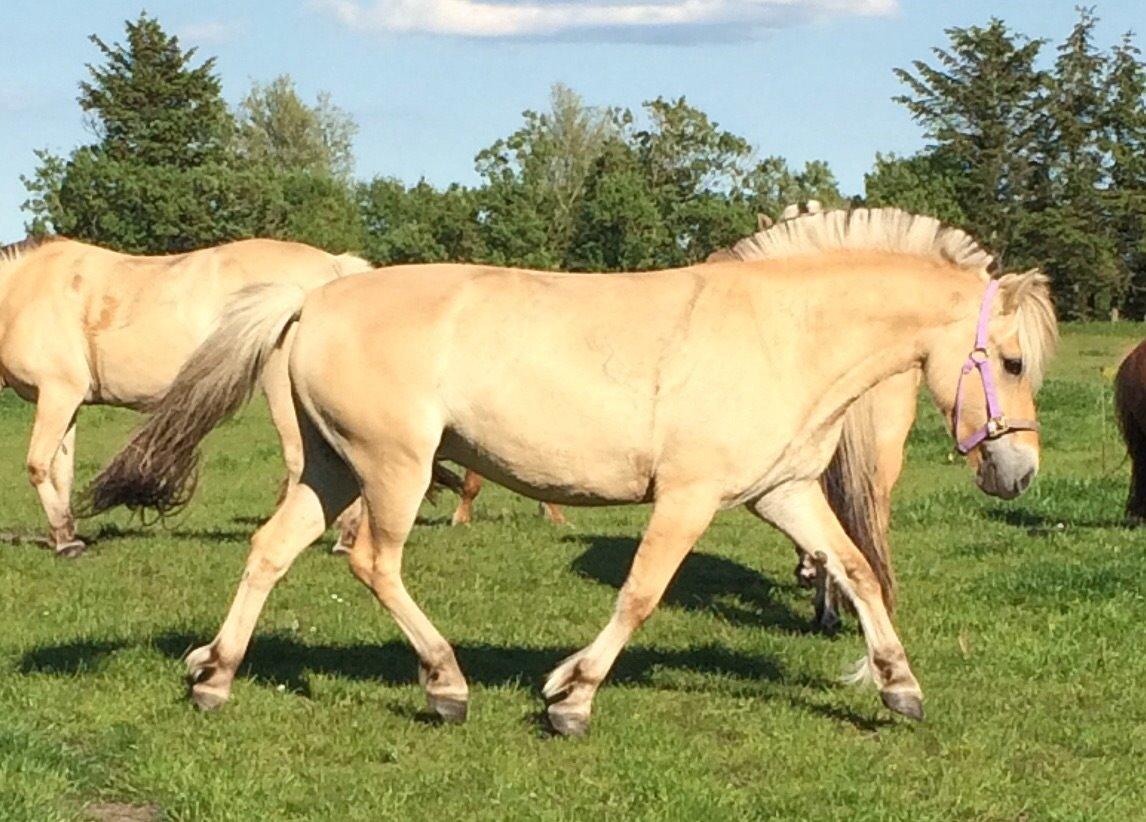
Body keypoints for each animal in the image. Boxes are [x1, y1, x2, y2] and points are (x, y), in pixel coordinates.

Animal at [89, 208, 1054, 733]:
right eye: (1010, 361)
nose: (1018, 472)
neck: (780, 332)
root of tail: (319, 293)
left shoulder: (781, 494)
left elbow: (855, 571)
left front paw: (901, 688)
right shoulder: (689, 498)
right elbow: (640, 595)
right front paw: (570, 698)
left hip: (330, 471)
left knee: (269, 551)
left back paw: (216, 676)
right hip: (393, 470)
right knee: (374, 562)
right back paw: (445, 685)